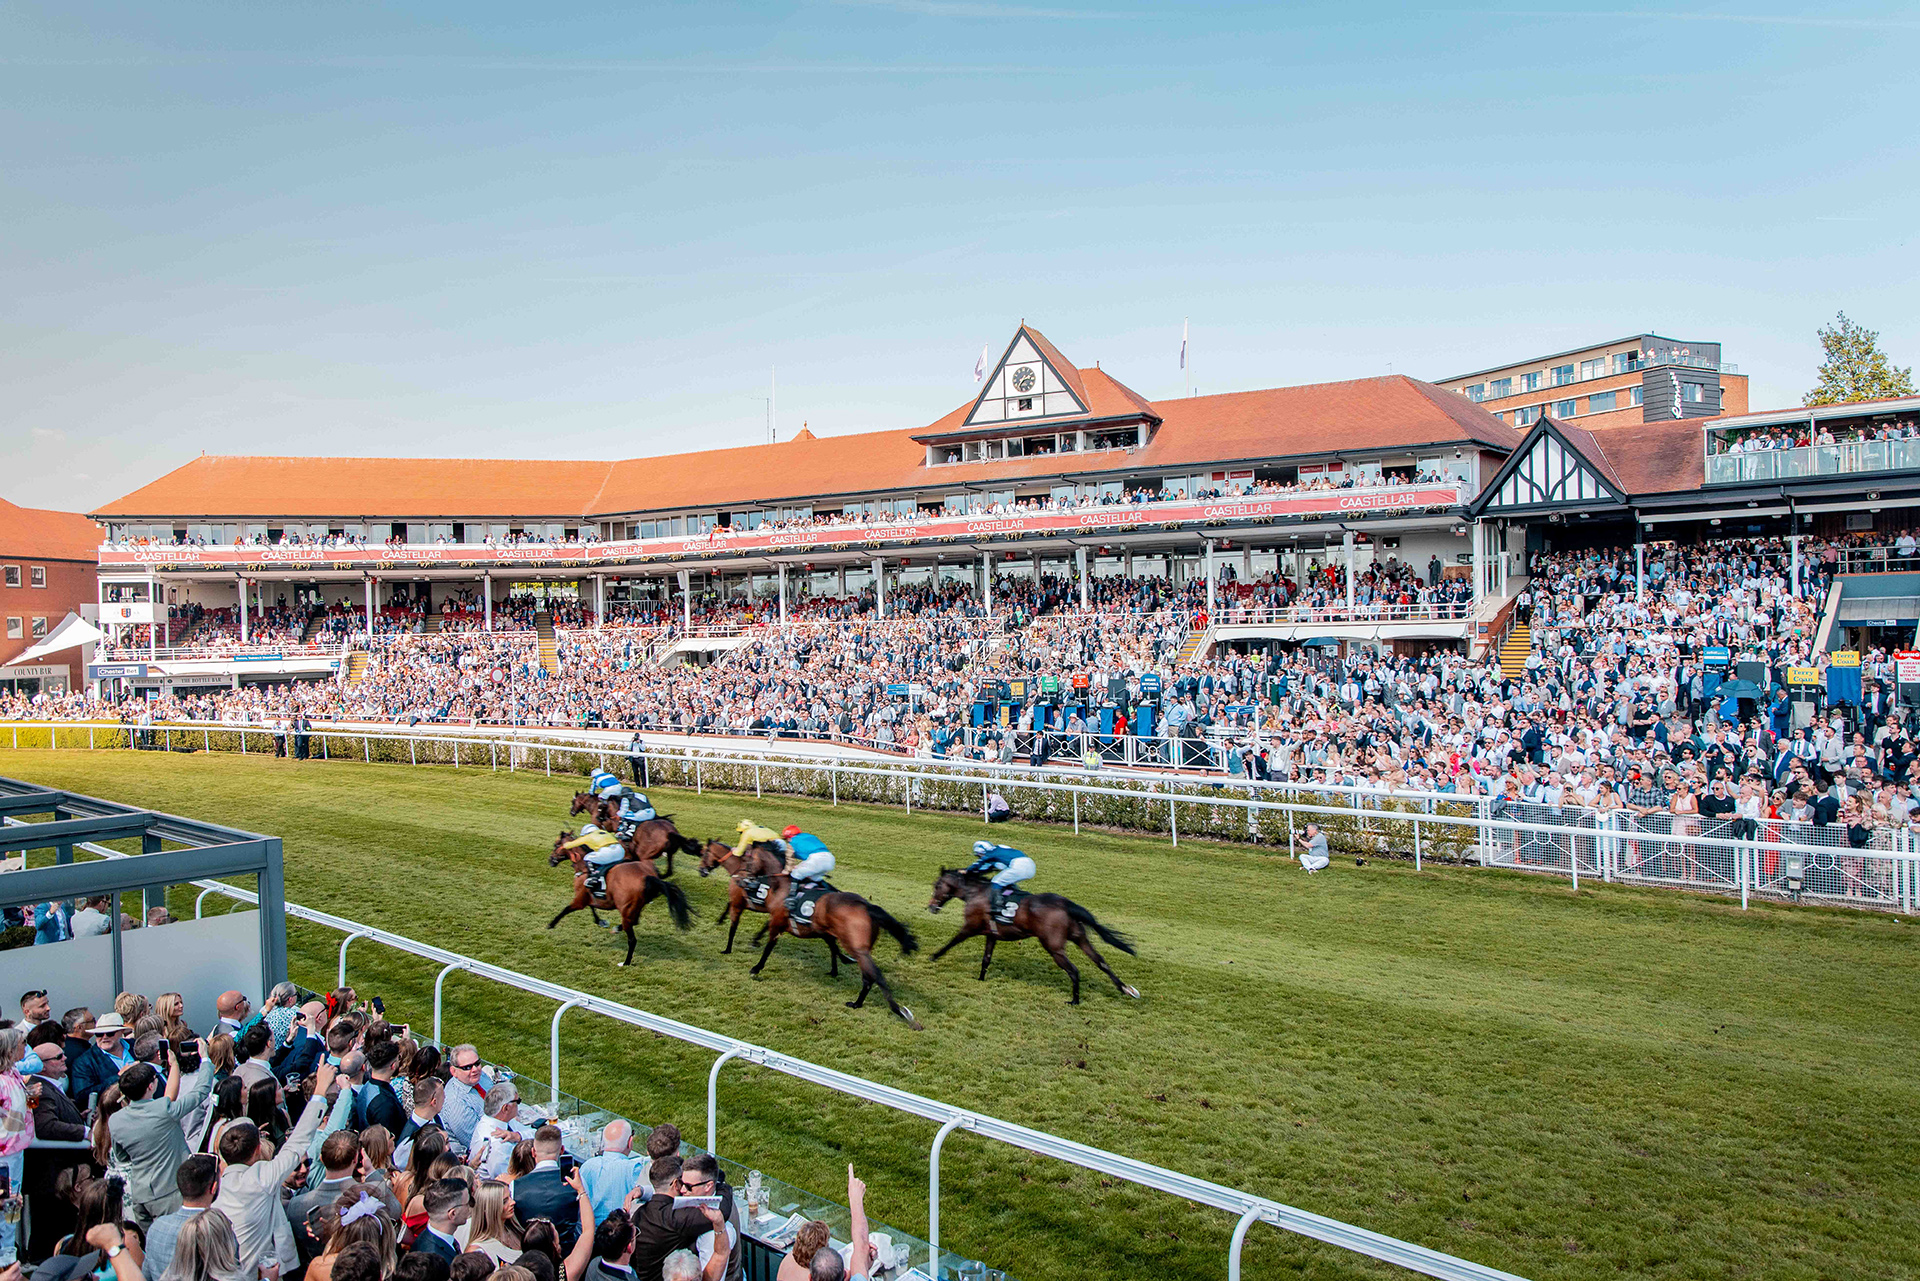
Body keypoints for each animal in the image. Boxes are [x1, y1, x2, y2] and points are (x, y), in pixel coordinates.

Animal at [547, 830, 692, 966]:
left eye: (556, 844)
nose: (550, 860)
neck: (583, 866)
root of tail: (648, 877)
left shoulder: (580, 900)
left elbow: (566, 909)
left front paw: (551, 924)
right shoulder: (590, 898)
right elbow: (592, 907)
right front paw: (601, 921)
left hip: (626, 910)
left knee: (632, 939)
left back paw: (625, 962)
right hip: (635, 907)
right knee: (635, 921)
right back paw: (617, 929)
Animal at [567, 791, 696, 876]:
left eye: (573, 801)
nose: (572, 812)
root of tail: (671, 833)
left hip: (645, 854)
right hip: (669, 853)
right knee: (668, 871)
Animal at [927, 868, 1140, 1004]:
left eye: (936, 885)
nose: (930, 907)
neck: (975, 892)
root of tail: (1065, 904)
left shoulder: (970, 927)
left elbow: (952, 941)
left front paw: (933, 956)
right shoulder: (991, 934)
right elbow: (986, 958)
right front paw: (980, 979)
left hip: (1053, 946)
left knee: (1074, 970)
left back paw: (1075, 1000)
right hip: (1079, 937)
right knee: (1101, 961)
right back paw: (1124, 989)